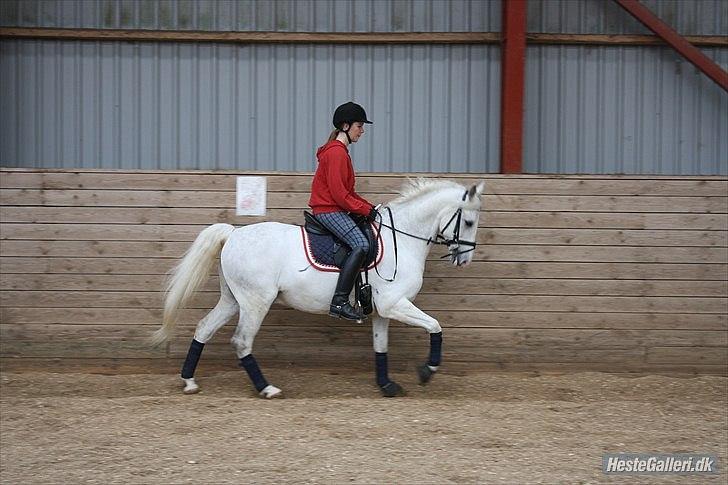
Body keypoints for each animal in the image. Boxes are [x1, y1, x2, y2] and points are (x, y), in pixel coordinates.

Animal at [151, 178, 486, 398]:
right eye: (469, 222)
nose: (465, 259)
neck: (402, 238)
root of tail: (233, 233)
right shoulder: (395, 304)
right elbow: (435, 326)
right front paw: (427, 371)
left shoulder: (382, 311)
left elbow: (381, 347)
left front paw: (387, 385)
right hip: (255, 302)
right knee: (242, 341)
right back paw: (266, 388)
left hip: (234, 299)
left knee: (204, 328)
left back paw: (189, 382)